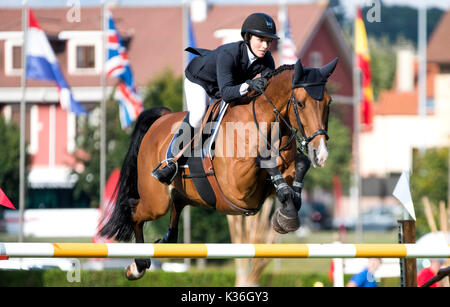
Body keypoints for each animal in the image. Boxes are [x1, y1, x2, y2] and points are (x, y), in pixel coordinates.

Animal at [98, 56, 338, 280]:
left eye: (329, 103)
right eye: (300, 104)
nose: (321, 153)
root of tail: (160, 121)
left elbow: (299, 167)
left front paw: (288, 211)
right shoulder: (237, 186)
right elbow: (264, 161)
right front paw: (287, 212)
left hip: (183, 193)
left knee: (176, 208)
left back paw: (163, 242)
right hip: (156, 201)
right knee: (134, 211)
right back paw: (137, 266)